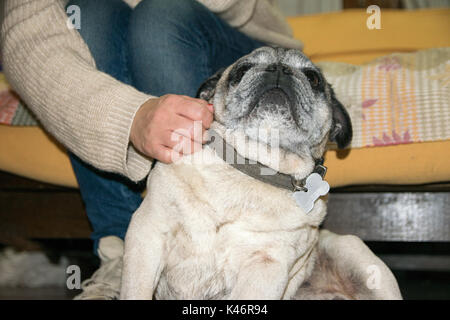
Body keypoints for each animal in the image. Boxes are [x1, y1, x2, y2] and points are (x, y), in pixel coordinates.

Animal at [119, 47, 400, 300]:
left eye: (313, 78)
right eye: (242, 71)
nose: (279, 69)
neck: (251, 168)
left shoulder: (265, 267)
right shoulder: (148, 233)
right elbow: (135, 291)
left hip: (354, 252)